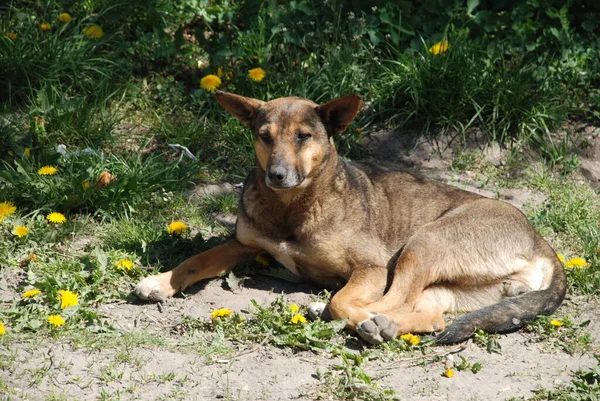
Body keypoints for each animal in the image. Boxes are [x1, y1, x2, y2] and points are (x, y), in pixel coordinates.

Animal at [136, 91, 568, 344]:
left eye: (303, 136)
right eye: (264, 136)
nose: (276, 175)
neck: (292, 206)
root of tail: (543, 243)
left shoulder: (372, 267)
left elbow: (347, 300)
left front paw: (341, 309)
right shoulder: (242, 245)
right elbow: (196, 260)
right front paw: (161, 282)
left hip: (425, 242)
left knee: (389, 300)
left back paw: (350, 316)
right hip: (442, 283)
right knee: (431, 316)